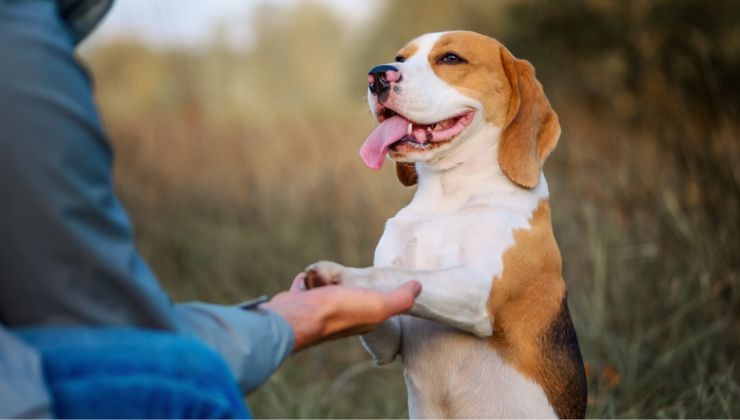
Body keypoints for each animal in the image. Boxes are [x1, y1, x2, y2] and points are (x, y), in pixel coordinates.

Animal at [304, 32, 588, 420]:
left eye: (451, 58)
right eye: (400, 58)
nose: (377, 76)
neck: (448, 197)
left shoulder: (478, 290)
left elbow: (396, 275)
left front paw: (341, 275)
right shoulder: (390, 340)